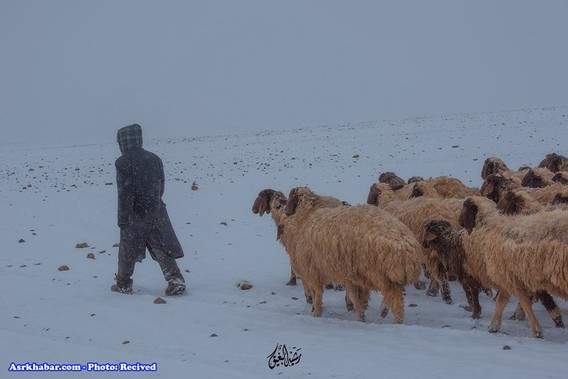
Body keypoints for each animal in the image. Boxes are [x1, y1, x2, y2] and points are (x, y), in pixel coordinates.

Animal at [284, 187, 422, 324]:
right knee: (395, 292)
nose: (285, 211)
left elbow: (317, 293)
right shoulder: (350, 273)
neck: (308, 216)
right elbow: (353, 295)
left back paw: (394, 317)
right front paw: (360, 315)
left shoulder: (313, 270)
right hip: (390, 274)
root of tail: (404, 247)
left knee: (394, 297)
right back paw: (385, 311)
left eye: (291, 197)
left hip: (378, 272)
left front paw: (317, 312)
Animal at [460, 197, 568, 336]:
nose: (459, 222)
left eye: (465, 207)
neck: (491, 228)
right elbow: (502, 301)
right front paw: (494, 326)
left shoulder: (513, 278)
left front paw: (536, 330)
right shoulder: (511, 277)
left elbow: (524, 302)